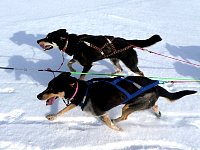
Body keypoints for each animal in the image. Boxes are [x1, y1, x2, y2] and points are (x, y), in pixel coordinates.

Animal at [36, 73, 196, 131]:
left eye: (52, 88)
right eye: (48, 86)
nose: (38, 96)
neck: (83, 90)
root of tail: (156, 86)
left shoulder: (101, 112)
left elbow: (109, 124)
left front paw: (119, 131)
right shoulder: (76, 102)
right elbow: (62, 110)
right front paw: (53, 116)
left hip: (129, 105)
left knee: (124, 116)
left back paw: (117, 120)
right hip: (135, 103)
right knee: (154, 105)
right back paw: (157, 112)